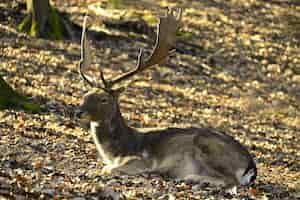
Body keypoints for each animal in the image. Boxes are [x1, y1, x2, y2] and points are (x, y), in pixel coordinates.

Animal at [77, 9, 255, 188]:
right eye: (85, 95)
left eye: (103, 99)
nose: (78, 112)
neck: (117, 150)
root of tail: (251, 166)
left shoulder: (142, 160)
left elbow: (108, 168)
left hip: (208, 147)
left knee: (232, 181)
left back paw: (190, 177)